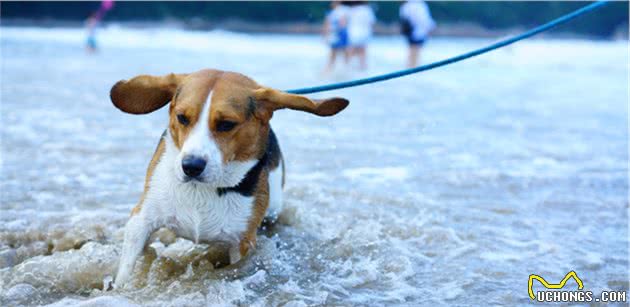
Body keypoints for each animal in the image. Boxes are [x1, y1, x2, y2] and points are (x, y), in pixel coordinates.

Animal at [111, 70, 350, 288]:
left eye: (226, 124)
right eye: (182, 118)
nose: (191, 166)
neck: (202, 188)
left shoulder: (242, 242)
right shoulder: (140, 220)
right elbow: (127, 268)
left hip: (274, 208)